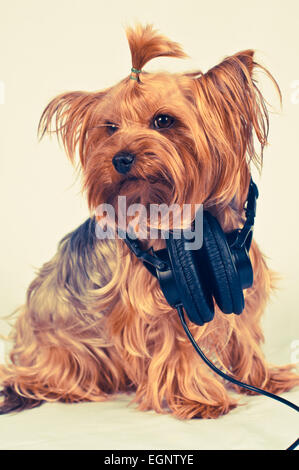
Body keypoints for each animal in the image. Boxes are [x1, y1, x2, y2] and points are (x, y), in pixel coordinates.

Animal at [0, 23, 299, 416]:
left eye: (163, 120)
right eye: (110, 127)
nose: (121, 158)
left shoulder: (238, 279)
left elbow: (244, 329)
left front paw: (263, 379)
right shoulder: (165, 305)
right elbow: (181, 348)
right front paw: (199, 399)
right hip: (61, 341)